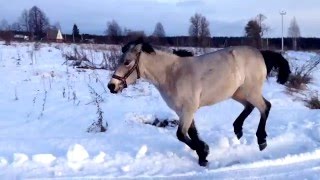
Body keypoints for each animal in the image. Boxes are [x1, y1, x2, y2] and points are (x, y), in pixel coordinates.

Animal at [107, 38, 290, 167]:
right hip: (238, 93)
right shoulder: (183, 111)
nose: (111, 86)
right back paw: (238, 129)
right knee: (250, 106)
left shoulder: (188, 109)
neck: (172, 74)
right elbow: (192, 133)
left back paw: (261, 140)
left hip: (251, 91)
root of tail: (260, 53)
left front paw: (204, 151)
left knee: (265, 107)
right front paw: (203, 155)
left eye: (127, 62)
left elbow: (181, 135)